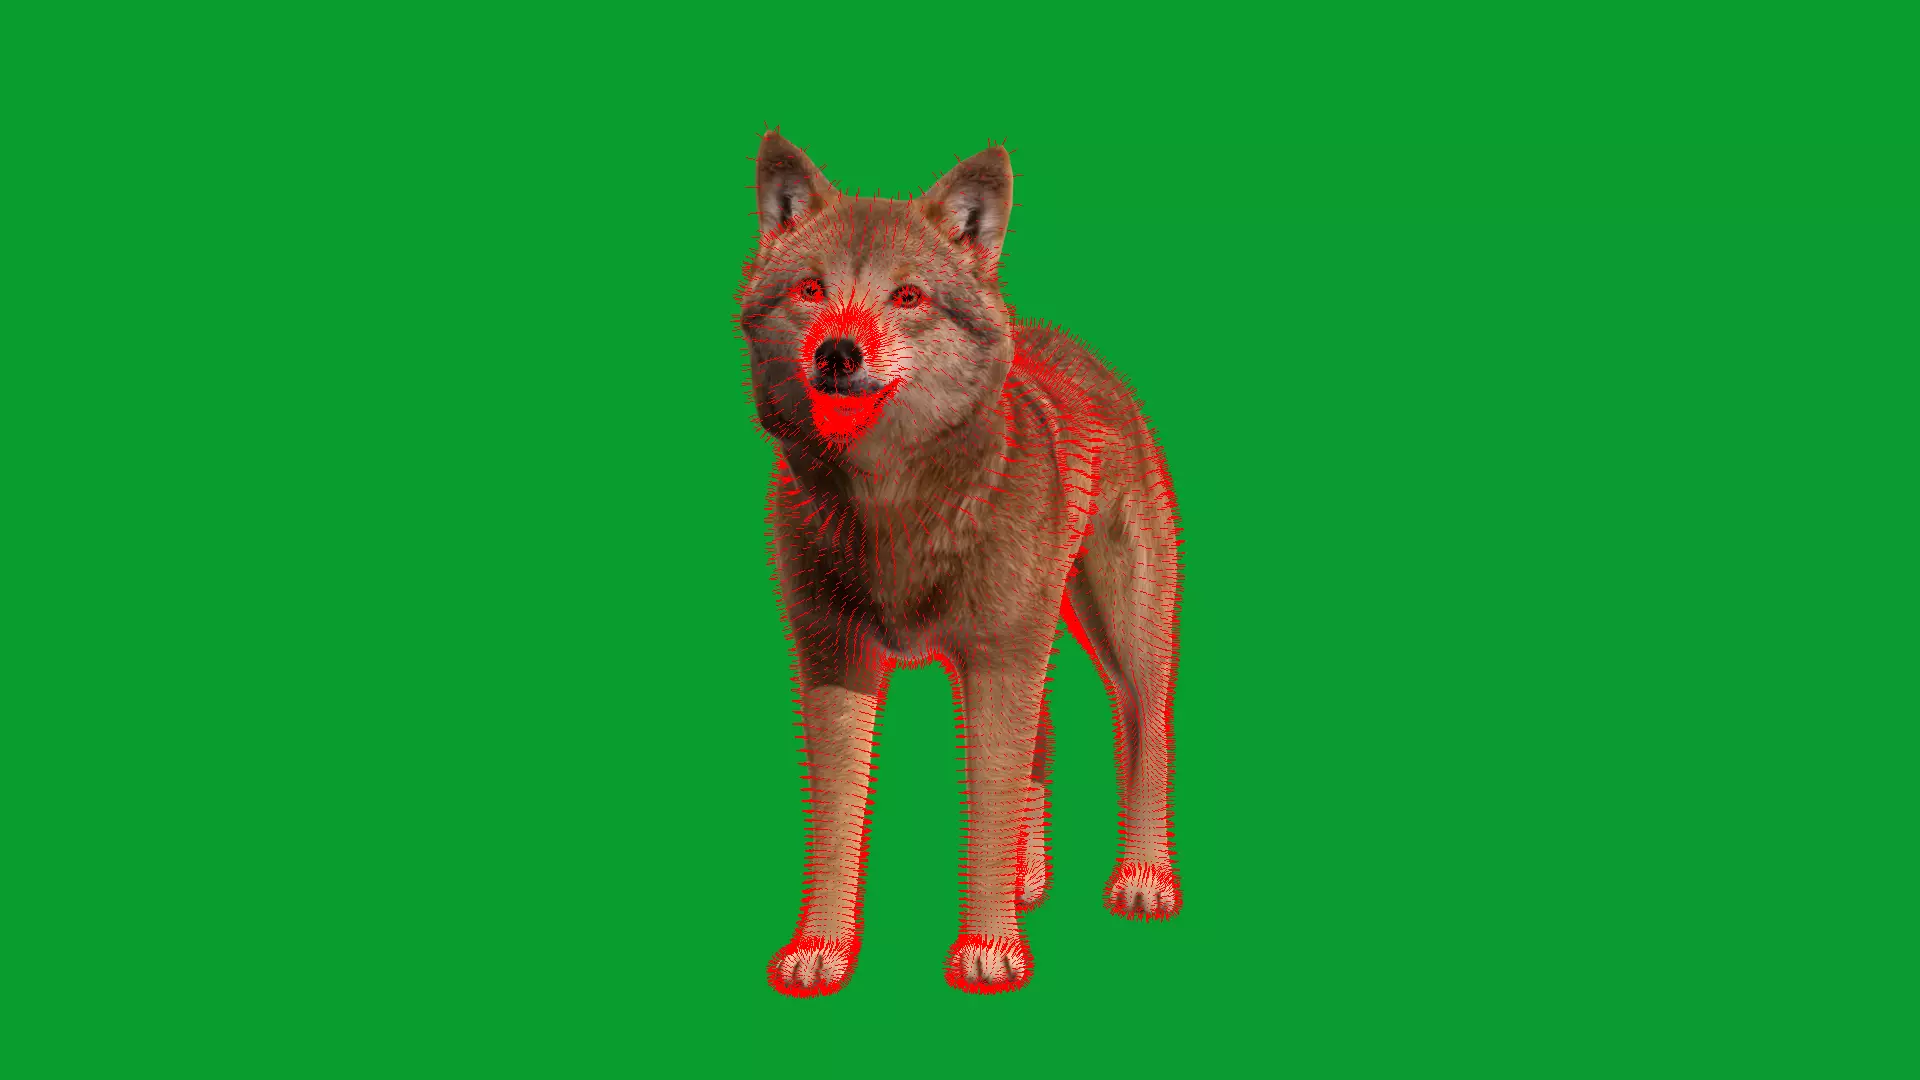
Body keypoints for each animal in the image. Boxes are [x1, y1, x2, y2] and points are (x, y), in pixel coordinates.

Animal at [737, 132, 1183, 995]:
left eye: (908, 297)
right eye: (811, 290)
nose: (836, 353)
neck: (890, 511)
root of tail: (1070, 347)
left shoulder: (996, 661)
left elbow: (987, 807)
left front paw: (989, 950)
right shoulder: (835, 666)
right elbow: (836, 824)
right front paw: (820, 951)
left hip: (1122, 638)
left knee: (1144, 734)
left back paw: (1144, 880)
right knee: (1045, 735)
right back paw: (1029, 880)